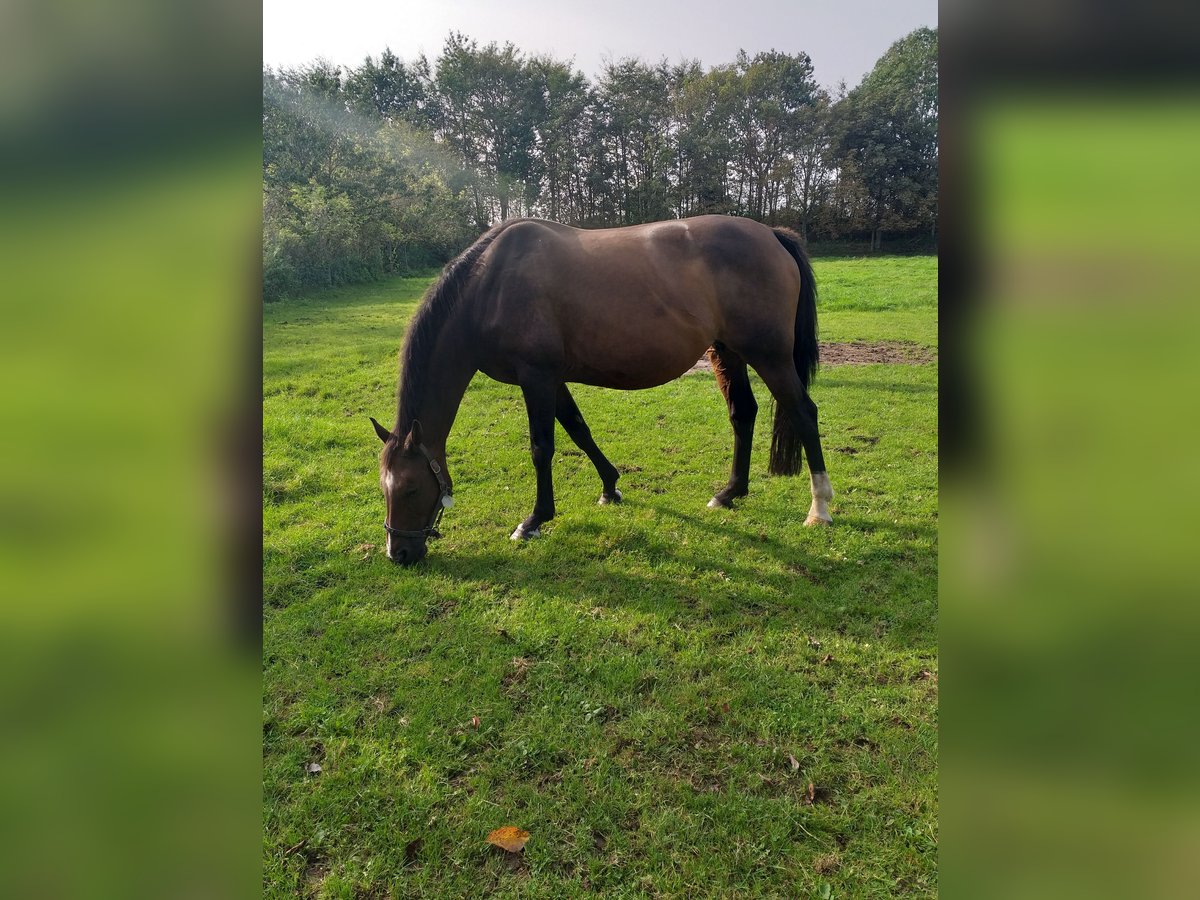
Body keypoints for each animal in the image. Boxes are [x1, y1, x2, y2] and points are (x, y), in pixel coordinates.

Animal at [369, 213, 830, 564]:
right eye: (383, 487)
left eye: (410, 487)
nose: (399, 554)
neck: (491, 285)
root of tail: (771, 234)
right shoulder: (552, 379)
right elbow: (578, 429)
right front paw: (610, 487)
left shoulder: (536, 377)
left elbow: (542, 448)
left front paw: (534, 521)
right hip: (728, 351)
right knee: (743, 413)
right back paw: (730, 493)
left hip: (769, 355)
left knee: (804, 413)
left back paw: (820, 508)